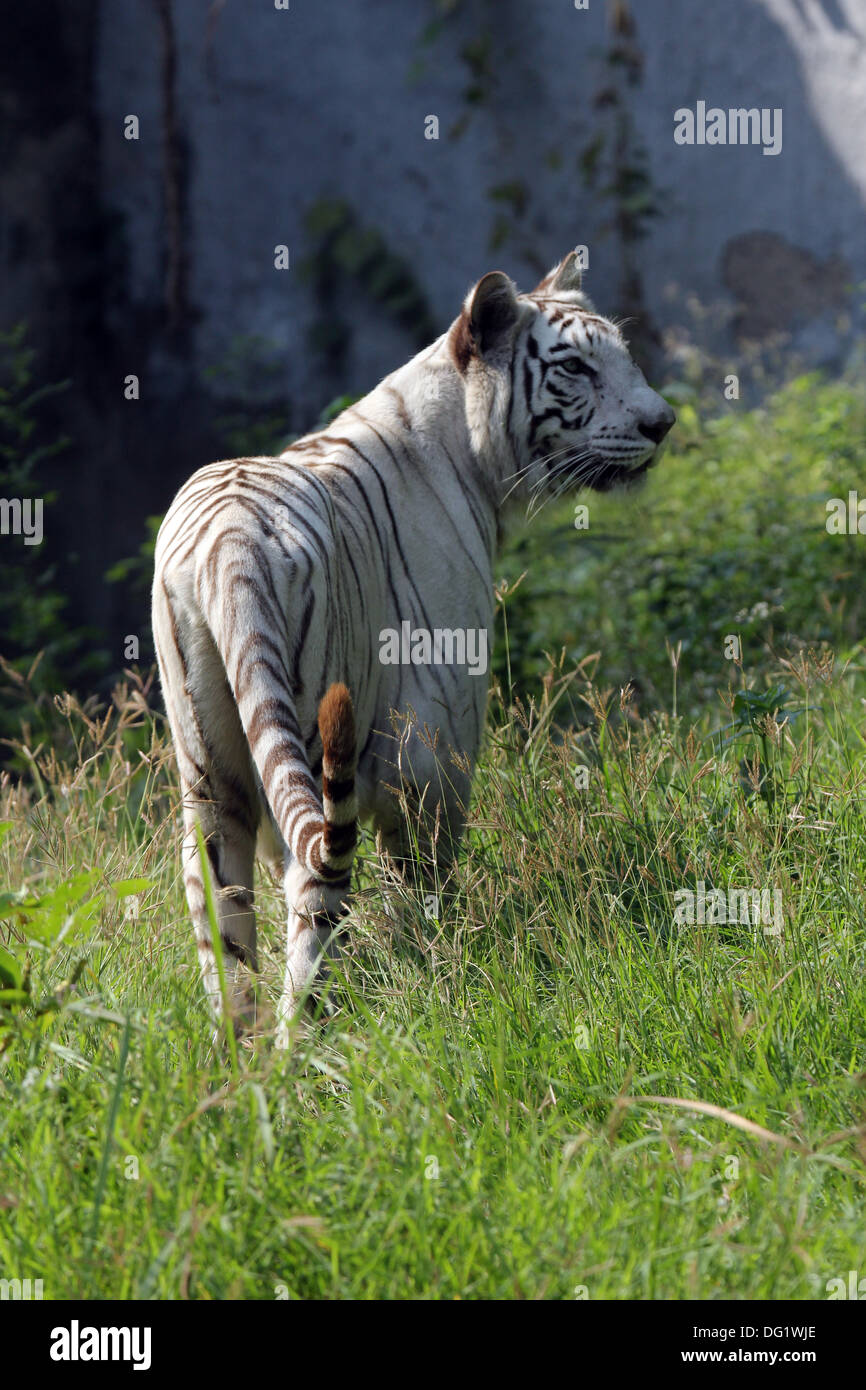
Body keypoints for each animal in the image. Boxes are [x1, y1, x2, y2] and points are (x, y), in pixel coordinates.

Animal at [152, 250, 675, 1039]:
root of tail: (232, 541)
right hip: (310, 733)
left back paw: (238, 1058)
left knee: (223, 920)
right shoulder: (436, 745)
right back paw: (301, 1044)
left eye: (626, 354)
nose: (662, 422)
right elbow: (425, 881)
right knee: (315, 890)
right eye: (577, 368)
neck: (469, 454)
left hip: (208, 776)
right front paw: (438, 971)